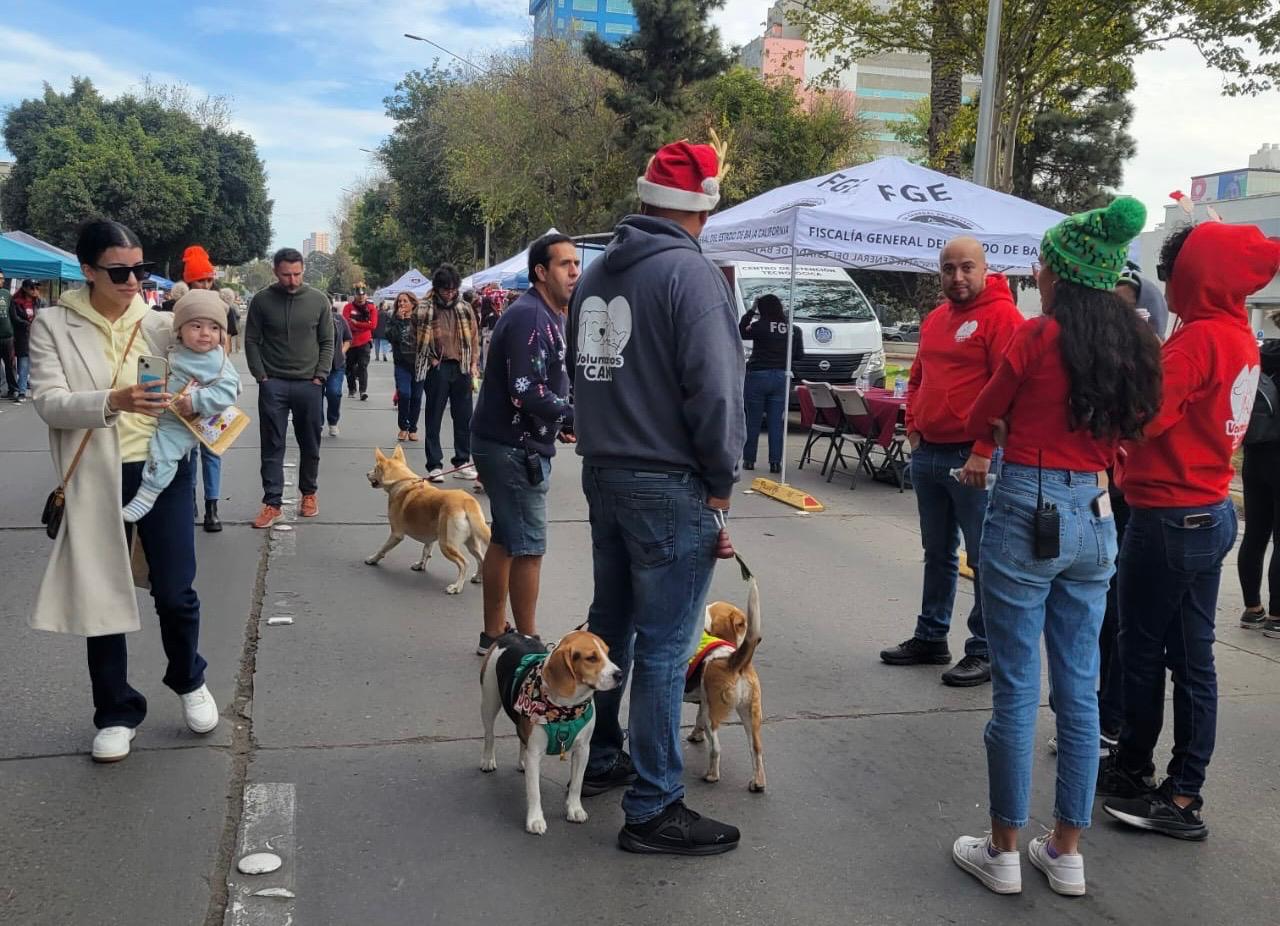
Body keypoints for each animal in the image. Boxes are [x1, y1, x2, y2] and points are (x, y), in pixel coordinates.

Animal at [481, 630, 619, 835]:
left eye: (608, 653)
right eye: (591, 658)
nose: (620, 674)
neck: (566, 708)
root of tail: (511, 634)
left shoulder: (583, 750)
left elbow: (577, 784)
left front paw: (574, 809)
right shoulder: (535, 753)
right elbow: (534, 791)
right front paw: (535, 820)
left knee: (521, 739)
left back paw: (521, 762)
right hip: (489, 701)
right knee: (489, 735)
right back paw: (488, 760)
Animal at [686, 578, 762, 788]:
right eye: (740, 624)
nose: (759, 639)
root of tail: (733, 661)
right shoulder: (702, 701)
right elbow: (696, 720)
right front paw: (696, 735)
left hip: (712, 716)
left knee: (716, 749)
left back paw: (712, 775)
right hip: (750, 714)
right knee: (756, 749)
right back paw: (758, 783)